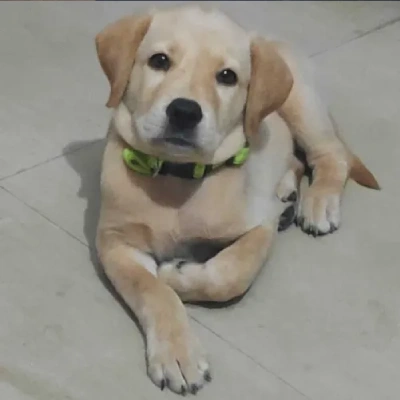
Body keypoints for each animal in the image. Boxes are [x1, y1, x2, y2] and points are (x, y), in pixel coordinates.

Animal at [94, 6, 378, 394]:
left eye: (227, 76)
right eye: (159, 60)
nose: (184, 112)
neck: (178, 178)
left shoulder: (259, 225)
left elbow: (229, 274)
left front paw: (176, 274)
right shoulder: (114, 241)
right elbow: (151, 291)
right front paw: (176, 353)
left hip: (301, 107)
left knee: (330, 155)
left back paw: (318, 202)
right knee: (296, 160)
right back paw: (288, 194)